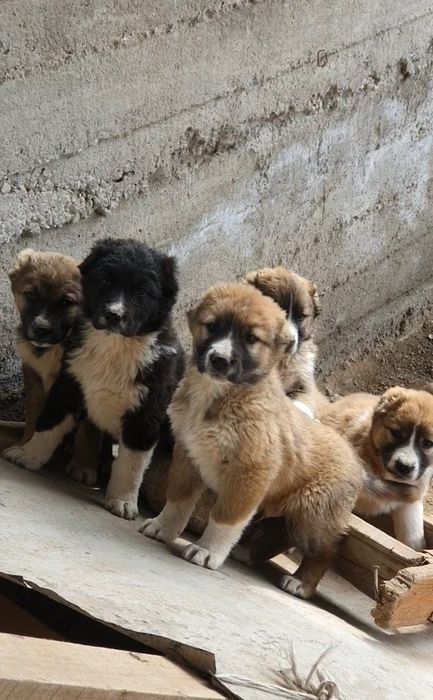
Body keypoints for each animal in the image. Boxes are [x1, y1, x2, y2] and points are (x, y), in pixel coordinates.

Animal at [4, 238, 184, 520]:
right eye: (105, 281)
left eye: (143, 292)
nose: (113, 315)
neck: (113, 347)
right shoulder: (67, 386)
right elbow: (45, 423)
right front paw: (28, 454)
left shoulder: (145, 414)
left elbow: (131, 463)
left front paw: (121, 500)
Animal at [141, 283, 361, 599]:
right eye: (213, 326)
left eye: (251, 339)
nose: (219, 360)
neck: (219, 394)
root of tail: (355, 459)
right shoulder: (188, 454)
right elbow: (179, 499)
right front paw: (163, 527)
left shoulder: (250, 473)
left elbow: (225, 518)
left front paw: (207, 552)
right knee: (280, 533)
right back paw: (248, 554)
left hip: (313, 511)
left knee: (326, 549)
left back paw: (302, 583)